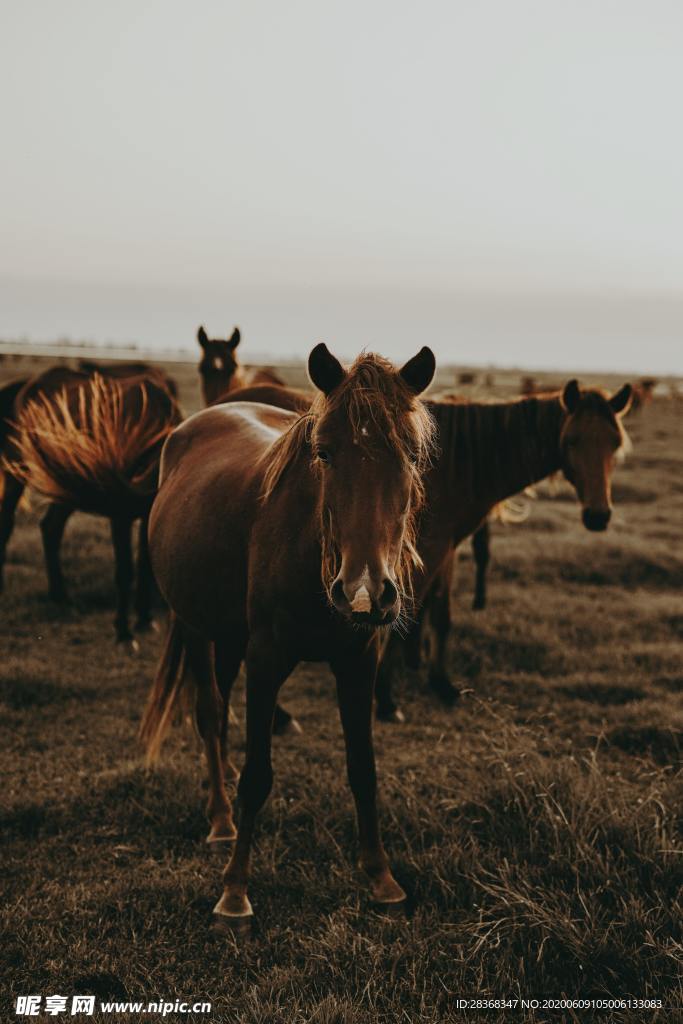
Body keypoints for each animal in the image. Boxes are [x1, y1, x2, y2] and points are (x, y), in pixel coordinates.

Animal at [1, 367, 181, 643]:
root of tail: (25, 386)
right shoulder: (120, 514)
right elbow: (125, 570)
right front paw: (123, 630)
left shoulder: (145, 513)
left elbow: (144, 564)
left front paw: (144, 617)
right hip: (17, 472)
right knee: (7, 522)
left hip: (65, 488)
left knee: (51, 527)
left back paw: (59, 595)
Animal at [139, 344, 436, 933]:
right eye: (324, 453)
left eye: (412, 456)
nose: (365, 593)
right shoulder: (267, 658)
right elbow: (258, 775)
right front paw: (234, 892)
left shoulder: (360, 661)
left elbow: (363, 769)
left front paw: (381, 878)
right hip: (196, 627)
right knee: (210, 713)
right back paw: (221, 819)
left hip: (229, 636)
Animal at [373, 379, 633, 720]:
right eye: (572, 441)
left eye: (616, 444)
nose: (598, 516)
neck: (455, 463)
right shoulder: (428, 547)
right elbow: (407, 611)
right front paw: (385, 699)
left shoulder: (445, 546)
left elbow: (441, 613)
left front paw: (440, 682)